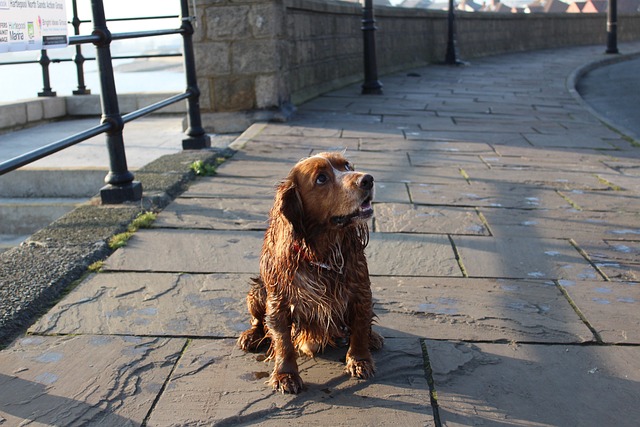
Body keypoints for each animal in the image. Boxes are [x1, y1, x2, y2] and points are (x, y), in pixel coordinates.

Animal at [238, 153, 382, 394]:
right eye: (321, 178)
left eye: (347, 166)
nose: (368, 179)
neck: (323, 253)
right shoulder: (278, 302)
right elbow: (282, 340)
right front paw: (285, 375)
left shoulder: (361, 291)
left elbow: (360, 327)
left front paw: (360, 360)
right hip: (257, 291)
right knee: (258, 321)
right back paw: (251, 336)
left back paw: (374, 338)